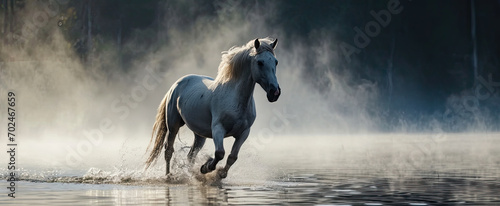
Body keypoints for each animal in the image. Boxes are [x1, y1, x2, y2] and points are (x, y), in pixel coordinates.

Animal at [146, 37, 282, 179]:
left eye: (276, 62)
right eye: (260, 62)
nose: (275, 92)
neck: (235, 99)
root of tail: (176, 84)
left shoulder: (244, 133)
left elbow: (232, 157)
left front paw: (220, 173)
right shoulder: (218, 129)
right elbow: (220, 153)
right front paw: (205, 167)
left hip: (199, 135)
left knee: (191, 155)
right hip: (173, 125)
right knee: (169, 150)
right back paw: (168, 175)